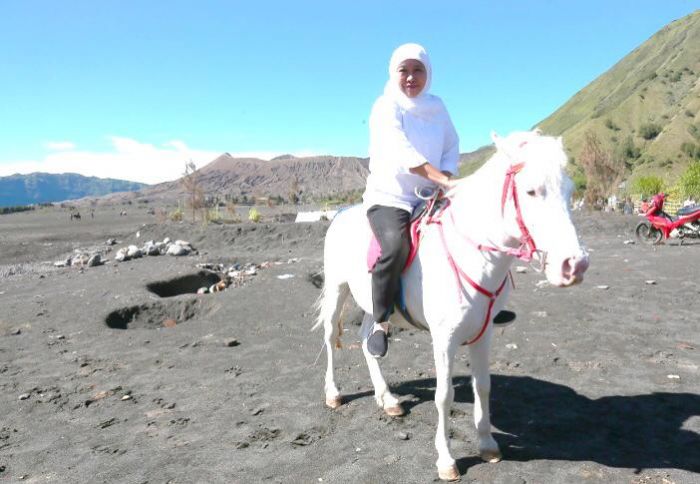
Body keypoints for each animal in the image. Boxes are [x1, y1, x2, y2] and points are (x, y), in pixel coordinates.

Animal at [314, 130, 588, 480]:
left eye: (570, 190)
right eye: (531, 190)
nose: (575, 265)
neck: (474, 254)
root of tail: (340, 215)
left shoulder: (484, 332)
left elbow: (483, 386)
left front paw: (487, 444)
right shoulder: (444, 339)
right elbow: (444, 396)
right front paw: (446, 459)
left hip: (374, 306)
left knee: (367, 341)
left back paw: (387, 398)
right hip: (338, 290)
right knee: (329, 338)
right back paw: (333, 394)